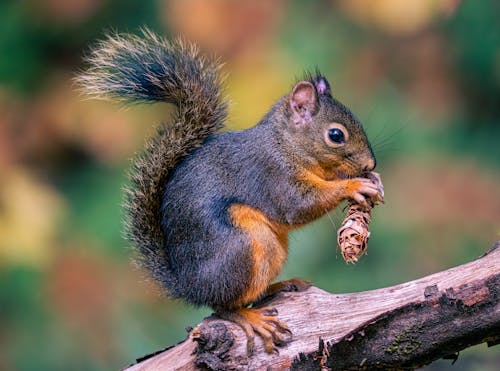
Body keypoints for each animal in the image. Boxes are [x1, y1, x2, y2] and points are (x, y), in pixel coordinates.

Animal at [78, 29, 380, 354]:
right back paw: (251, 318)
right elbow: (299, 205)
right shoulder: (273, 174)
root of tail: (189, 286)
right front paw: (355, 185)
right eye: (335, 135)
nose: (370, 163)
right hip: (242, 248)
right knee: (221, 307)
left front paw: (371, 179)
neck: (286, 144)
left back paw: (281, 285)